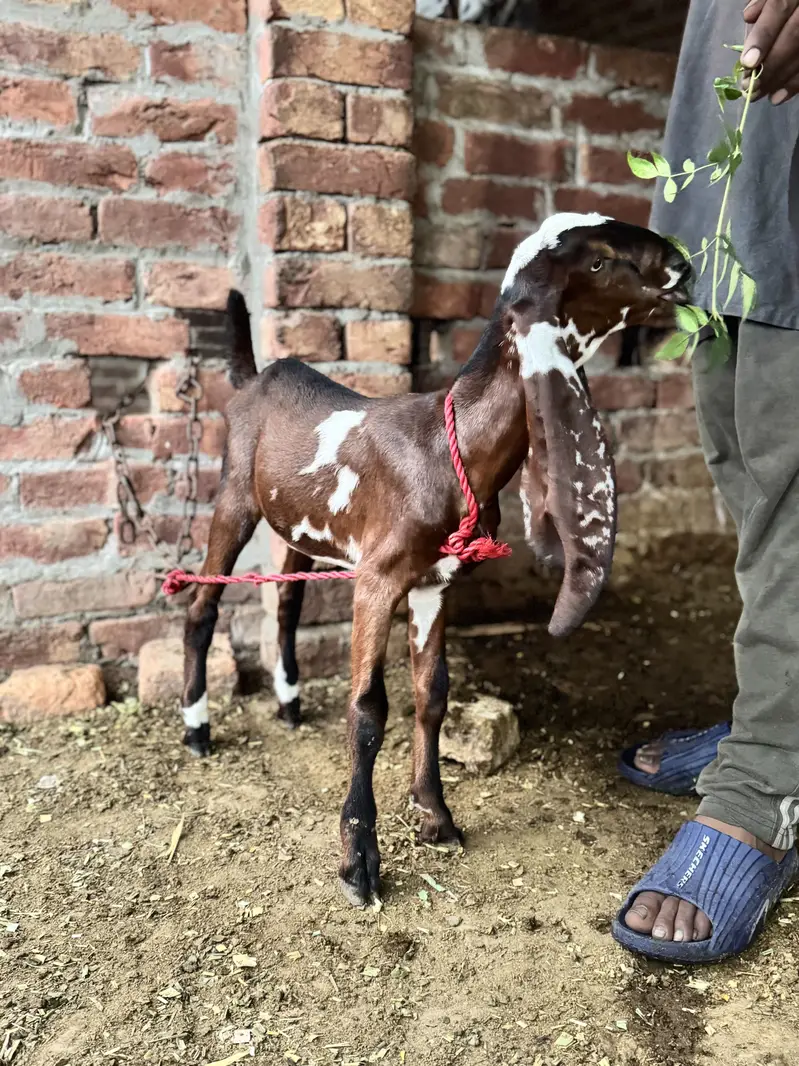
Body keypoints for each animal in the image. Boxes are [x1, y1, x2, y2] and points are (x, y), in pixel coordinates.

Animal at [177, 212, 690, 907]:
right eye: (598, 263)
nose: (683, 266)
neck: (451, 451)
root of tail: (255, 377)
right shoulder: (378, 578)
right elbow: (369, 709)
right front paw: (359, 863)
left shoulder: (435, 584)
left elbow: (434, 692)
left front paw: (436, 816)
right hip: (233, 496)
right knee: (202, 604)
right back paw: (197, 727)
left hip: (298, 525)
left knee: (284, 599)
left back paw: (288, 703)